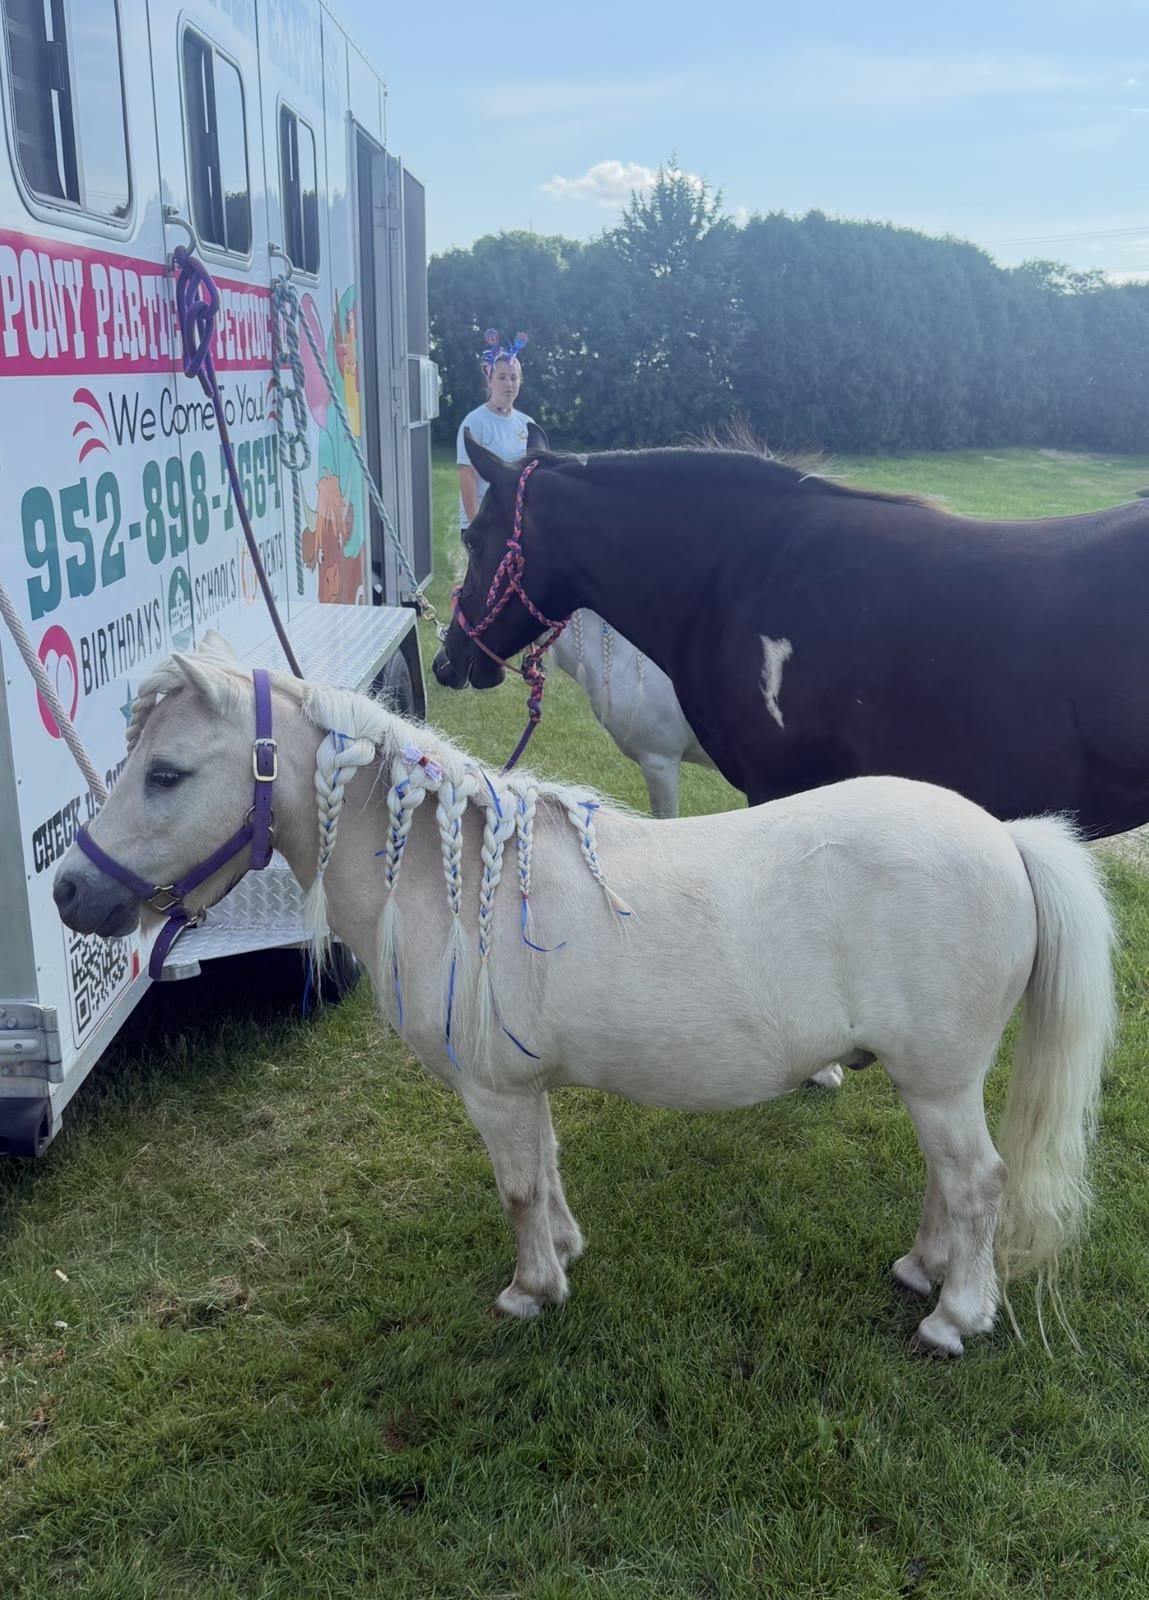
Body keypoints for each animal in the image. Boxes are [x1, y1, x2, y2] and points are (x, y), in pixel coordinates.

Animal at [52, 640, 1115, 1356]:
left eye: (166, 773)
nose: (69, 891)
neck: (455, 879)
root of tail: (1004, 837)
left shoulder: (491, 1092)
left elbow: (517, 1188)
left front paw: (531, 1291)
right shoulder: (524, 1088)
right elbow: (548, 1172)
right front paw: (565, 1250)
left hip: (937, 1080)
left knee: (976, 1182)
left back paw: (955, 1315)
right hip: (928, 1078)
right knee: (948, 1181)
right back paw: (921, 1270)